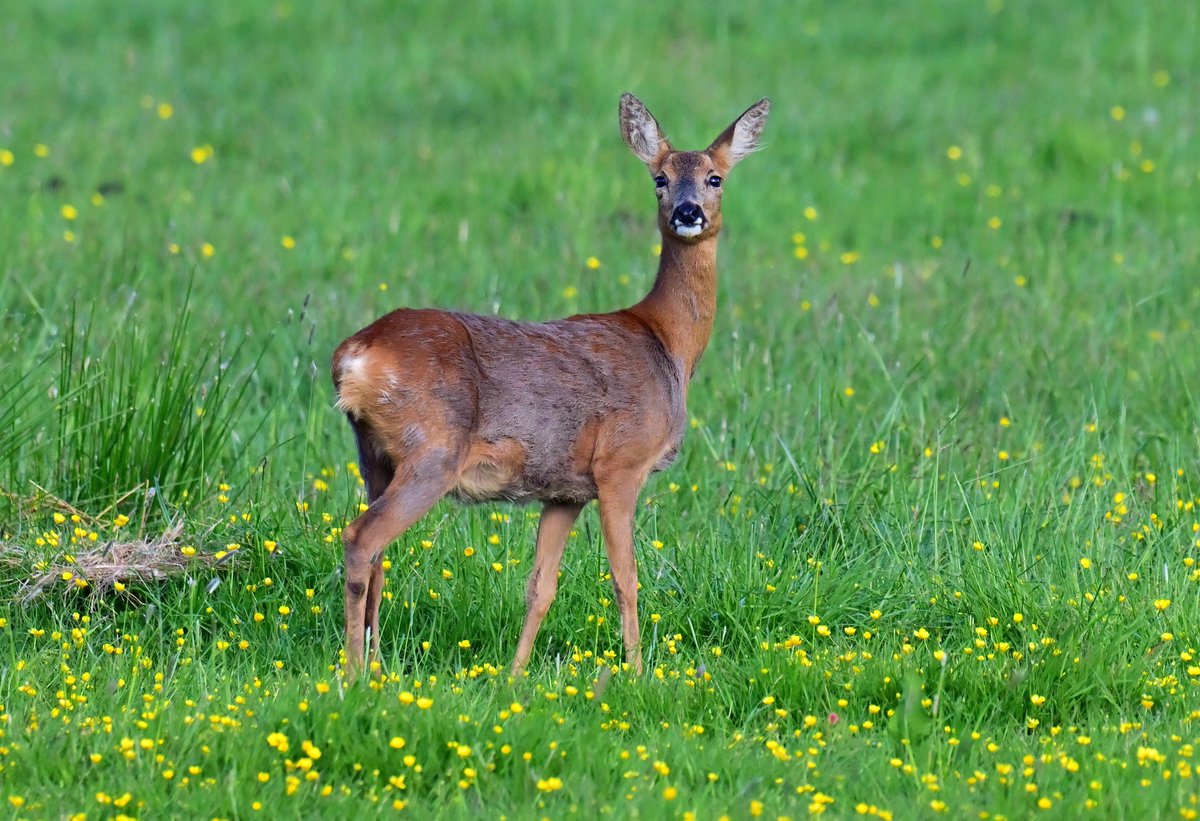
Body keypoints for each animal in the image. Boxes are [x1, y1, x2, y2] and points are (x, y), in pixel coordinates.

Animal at [331, 93, 770, 681]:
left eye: (714, 177)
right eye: (659, 177)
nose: (688, 212)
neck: (666, 343)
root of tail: (354, 355)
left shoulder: (565, 491)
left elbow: (540, 586)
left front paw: (515, 676)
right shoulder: (620, 464)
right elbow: (626, 579)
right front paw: (636, 672)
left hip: (374, 456)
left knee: (378, 554)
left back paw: (377, 667)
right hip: (432, 452)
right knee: (361, 539)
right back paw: (354, 673)